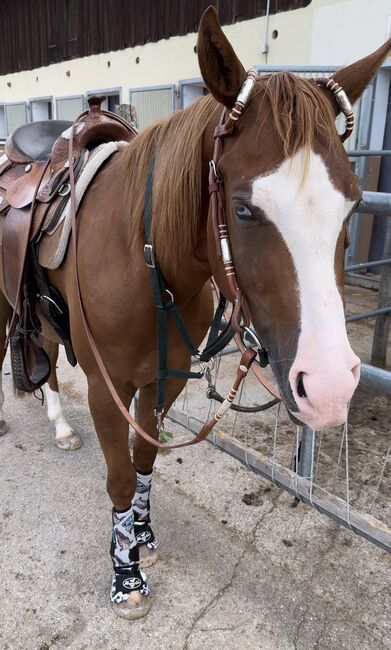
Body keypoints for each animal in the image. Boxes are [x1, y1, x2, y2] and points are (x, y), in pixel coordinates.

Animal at [0, 8, 391, 616]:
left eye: (352, 203)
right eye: (243, 208)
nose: (330, 387)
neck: (144, 259)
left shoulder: (164, 378)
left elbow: (144, 459)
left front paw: (142, 537)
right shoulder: (107, 388)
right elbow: (119, 475)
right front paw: (126, 576)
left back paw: (61, 427)